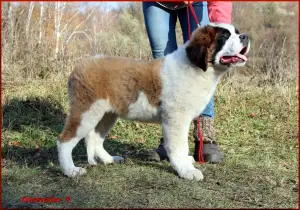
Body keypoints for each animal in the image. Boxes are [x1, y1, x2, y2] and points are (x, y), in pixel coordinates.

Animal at [57, 22, 250, 180]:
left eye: (236, 32)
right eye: (224, 36)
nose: (245, 36)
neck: (199, 68)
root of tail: (82, 64)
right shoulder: (176, 119)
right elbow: (179, 146)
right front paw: (186, 170)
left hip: (107, 114)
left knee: (95, 138)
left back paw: (109, 160)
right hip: (86, 111)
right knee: (64, 140)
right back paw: (71, 170)